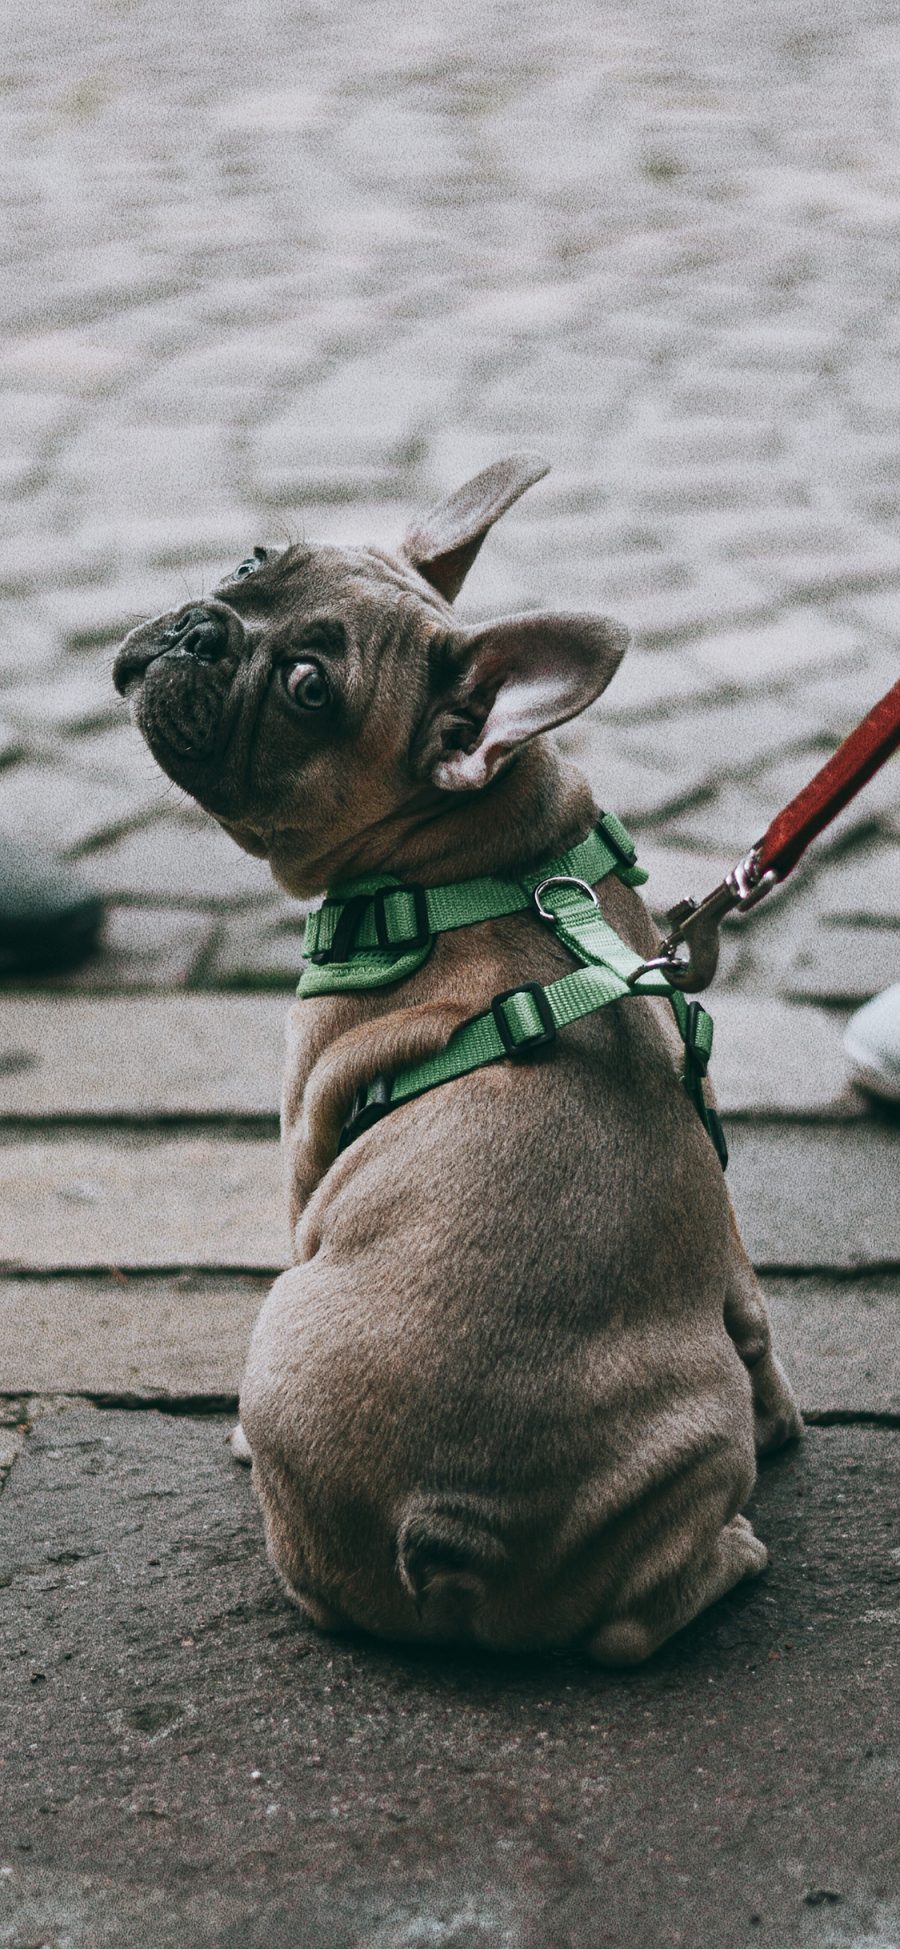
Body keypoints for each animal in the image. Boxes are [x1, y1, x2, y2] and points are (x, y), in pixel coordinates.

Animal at [114, 459, 802, 1660]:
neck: (482, 849)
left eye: (307, 688)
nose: (203, 629)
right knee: (637, 1607)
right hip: (688, 1437)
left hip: (287, 1335)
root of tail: (450, 1520)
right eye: (251, 561)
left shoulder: (305, 1141)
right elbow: (755, 1314)